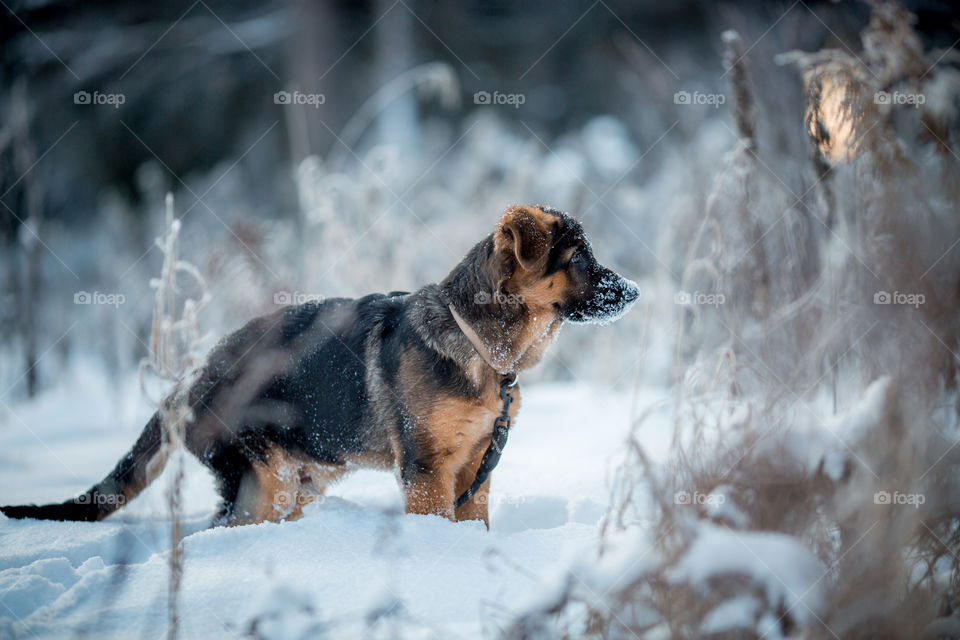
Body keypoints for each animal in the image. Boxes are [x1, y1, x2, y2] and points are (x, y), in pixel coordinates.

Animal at [5, 204, 644, 524]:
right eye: (579, 258)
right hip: (264, 482)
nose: (636, 292)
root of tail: (192, 376)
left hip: (302, 480)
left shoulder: (474, 469)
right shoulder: (427, 473)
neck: (478, 343)